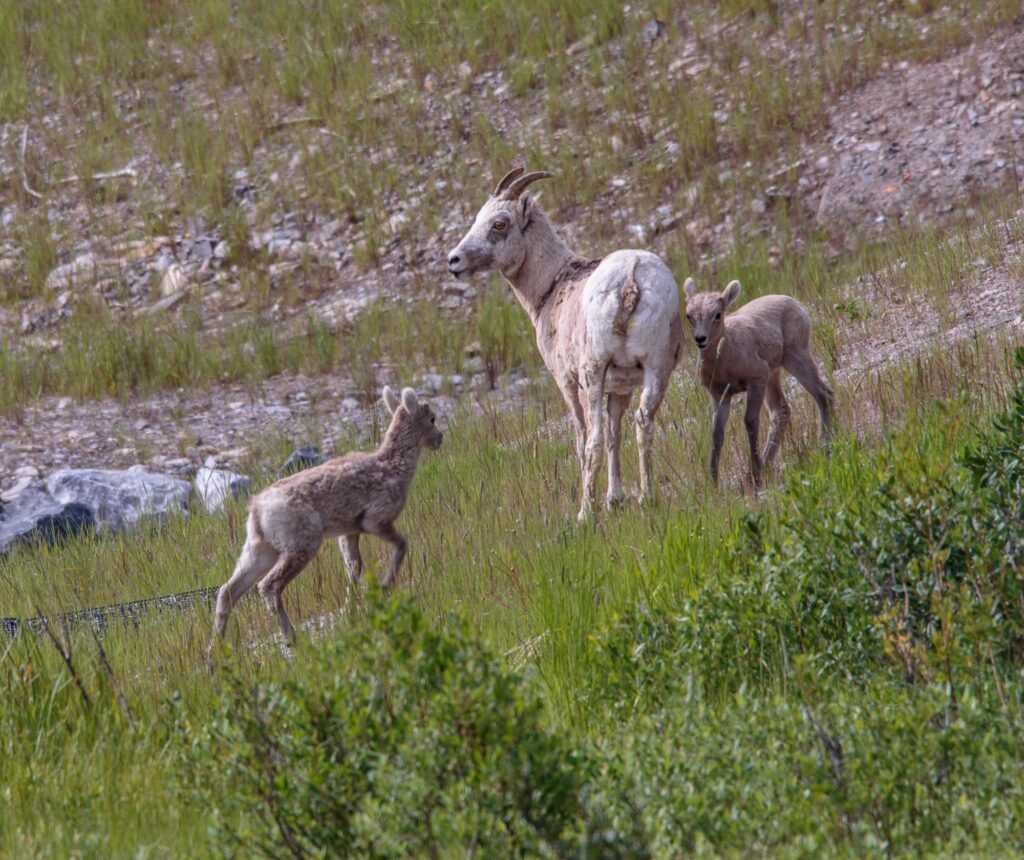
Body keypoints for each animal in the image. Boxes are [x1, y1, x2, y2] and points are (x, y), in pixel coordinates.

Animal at [209, 384, 442, 647]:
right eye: (432, 418)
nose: (440, 438)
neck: (394, 467)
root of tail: (257, 509)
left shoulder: (349, 532)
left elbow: (354, 567)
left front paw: (351, 611)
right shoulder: (375, 519)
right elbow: (402, 545)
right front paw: (385, 585)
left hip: (260, 549)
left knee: (228, 590)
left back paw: (216, 650)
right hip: (302, 544)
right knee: (268, 586)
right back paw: (290, 637)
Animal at [446, 165, 679, 518]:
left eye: (499, 223)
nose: (454, 261)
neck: (552, 286)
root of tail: (631, 278)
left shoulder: (568, 383)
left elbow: (584, 441)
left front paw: (600, 504)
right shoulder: (622, 386)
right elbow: (615, 434)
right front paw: (615, 499)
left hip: (593, 372)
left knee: (592, 440)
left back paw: (585, 513)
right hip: (657, 367)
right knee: (643, 423)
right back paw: (647, 498)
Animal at [684, 276, 835, 487]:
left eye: (717, 315)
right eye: (688, 316)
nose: (700, 339)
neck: (724, 359)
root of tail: (796, 304)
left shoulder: (756, 380)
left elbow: (750, 421)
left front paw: (756, 477)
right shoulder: (719, 393)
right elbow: (717, 433)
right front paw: (713, 483)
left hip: (795, 357)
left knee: (824, 394)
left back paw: (825, 447)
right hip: (774, 374)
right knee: (781, 410)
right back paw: (766, 463)